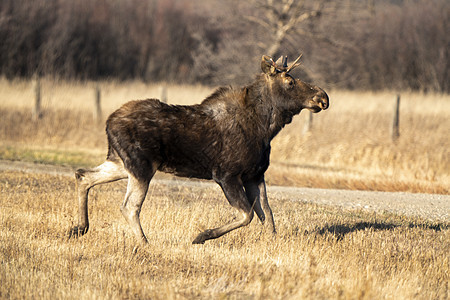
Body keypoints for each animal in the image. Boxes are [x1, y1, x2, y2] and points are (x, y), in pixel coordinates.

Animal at [69, 55, 330, 245]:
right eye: (290, 82)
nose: (323, 97)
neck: (266, 128)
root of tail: (108, 122)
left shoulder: (255, 175)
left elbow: (268, 215)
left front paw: (274, 244)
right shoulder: (226, 175)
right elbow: (247, 215)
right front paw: (201, 236)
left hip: (122, 163)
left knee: (83, 175)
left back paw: (80, 227)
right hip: (141, 166)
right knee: (129, 206)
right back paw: (144, 243)